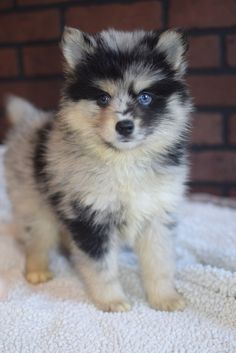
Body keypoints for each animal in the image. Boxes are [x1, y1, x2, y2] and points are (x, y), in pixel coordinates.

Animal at [4, 28, 192, 314]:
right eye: (103, 98)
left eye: (145, 97)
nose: (124, 126)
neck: (123, 160)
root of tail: (30, 122)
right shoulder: (91, 217)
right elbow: (102, 268)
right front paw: (112, 301)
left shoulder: (157, 215)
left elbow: (159, 263)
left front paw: (164, 298)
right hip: (33, 203)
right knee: (37, 238)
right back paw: (37, 270)